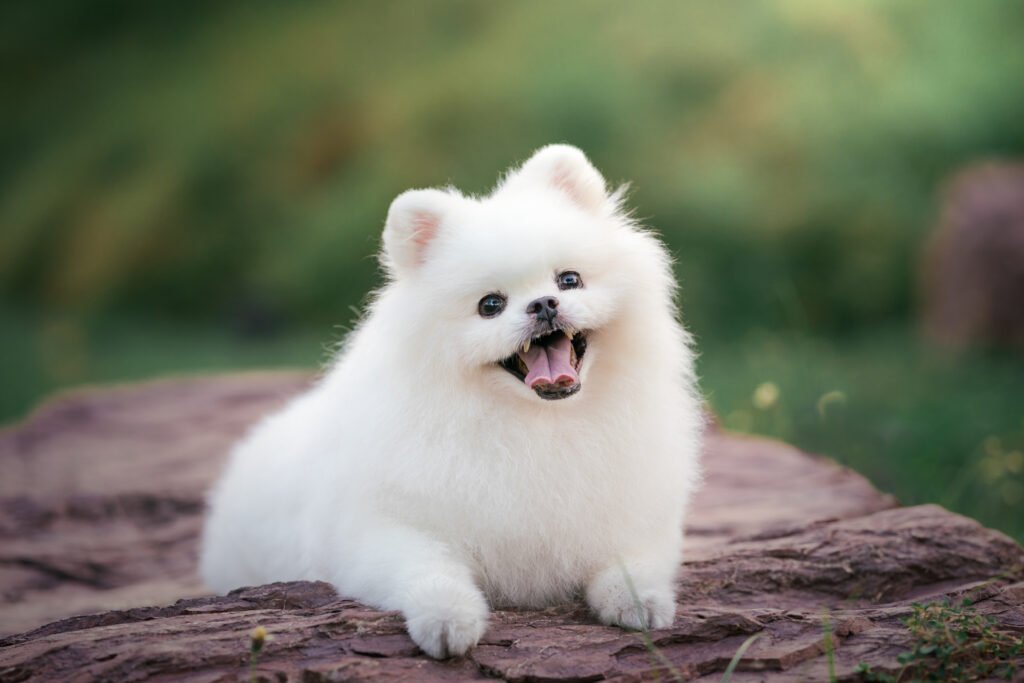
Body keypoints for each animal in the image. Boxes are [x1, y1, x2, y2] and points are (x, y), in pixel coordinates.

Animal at [204, 147, 708, 659]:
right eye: (490, 305)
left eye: (569, 279)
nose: (544, 304)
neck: (537, 423)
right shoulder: (380, 529)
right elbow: (429, 570)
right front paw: (448, 621)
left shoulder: (634, 513)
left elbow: (630, 563)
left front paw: (639, 602)